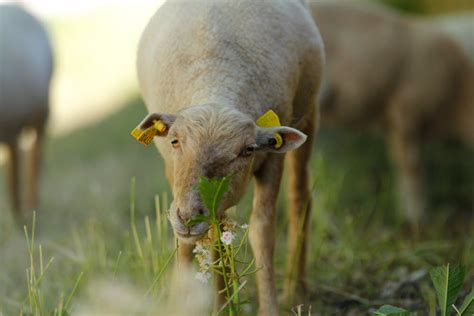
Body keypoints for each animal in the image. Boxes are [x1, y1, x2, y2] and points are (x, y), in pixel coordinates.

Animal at [135, 0, 324, 312]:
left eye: (247, 150)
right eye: (174, 141)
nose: (188, 218)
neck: (215, 74)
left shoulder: (271, 158)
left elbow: (262, 230)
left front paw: (269, 308)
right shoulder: (174, 173)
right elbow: (190, 243)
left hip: (307, 111)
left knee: (300, 198)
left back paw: (297, 292)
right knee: (217, 231)